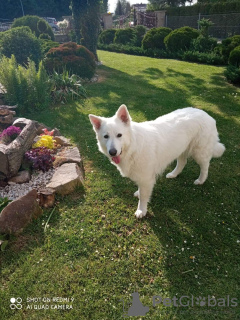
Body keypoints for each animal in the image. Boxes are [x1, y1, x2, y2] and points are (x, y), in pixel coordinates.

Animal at [88, 105, 225, 218]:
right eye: (106, 137)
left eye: (119, 135)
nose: (112, 152)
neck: (133, 146)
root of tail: (206, 115)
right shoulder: (143, 177)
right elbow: (141, 190)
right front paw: (138, 194)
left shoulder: (146, 178)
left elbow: (144, 197)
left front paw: (141, 210)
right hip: (181, 149)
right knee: (182, 162)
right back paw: (173, 174)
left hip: (199, 152)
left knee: (205, 166)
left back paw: (201, 180)